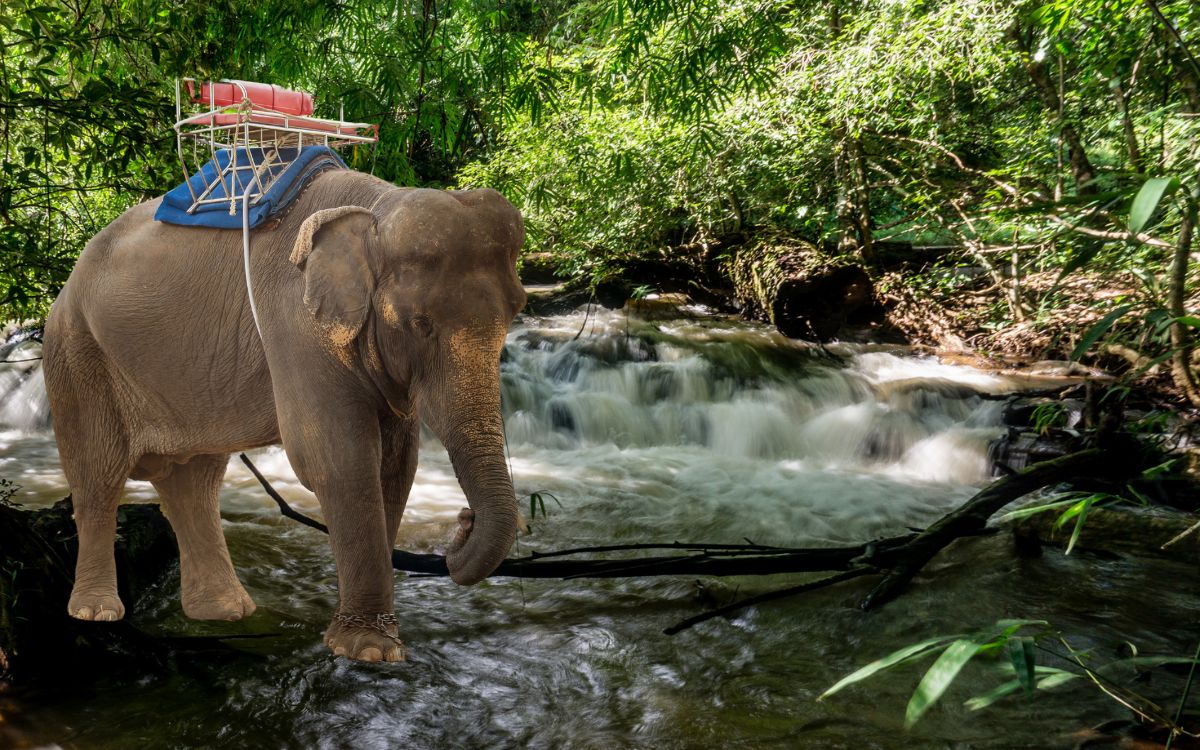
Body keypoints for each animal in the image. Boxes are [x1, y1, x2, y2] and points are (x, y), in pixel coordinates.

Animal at [44, 171, 523, 662]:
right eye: (420, 324)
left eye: (516, 312)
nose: (463, 520)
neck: (377, 207)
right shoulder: (295, 323)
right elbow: (337, 459)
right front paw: (367, 651)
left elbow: (396, 465)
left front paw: (364, 641)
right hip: (76, 354)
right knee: (98, 475)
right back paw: (97, 613)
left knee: (194, 482)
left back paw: (224, 612)